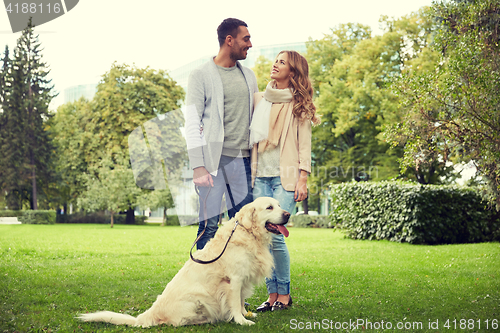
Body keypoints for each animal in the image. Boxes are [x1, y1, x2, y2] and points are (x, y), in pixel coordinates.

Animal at [76, 196, 292, 326]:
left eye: (280, 205)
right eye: (269, 207)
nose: (288, 214)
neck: (250, 234)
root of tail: (148, 314)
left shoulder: (243, 279)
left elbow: (239, 301)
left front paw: (246, 314)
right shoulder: (234, 280)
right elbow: (234, 303)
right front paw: (241, 321)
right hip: (197, 299)